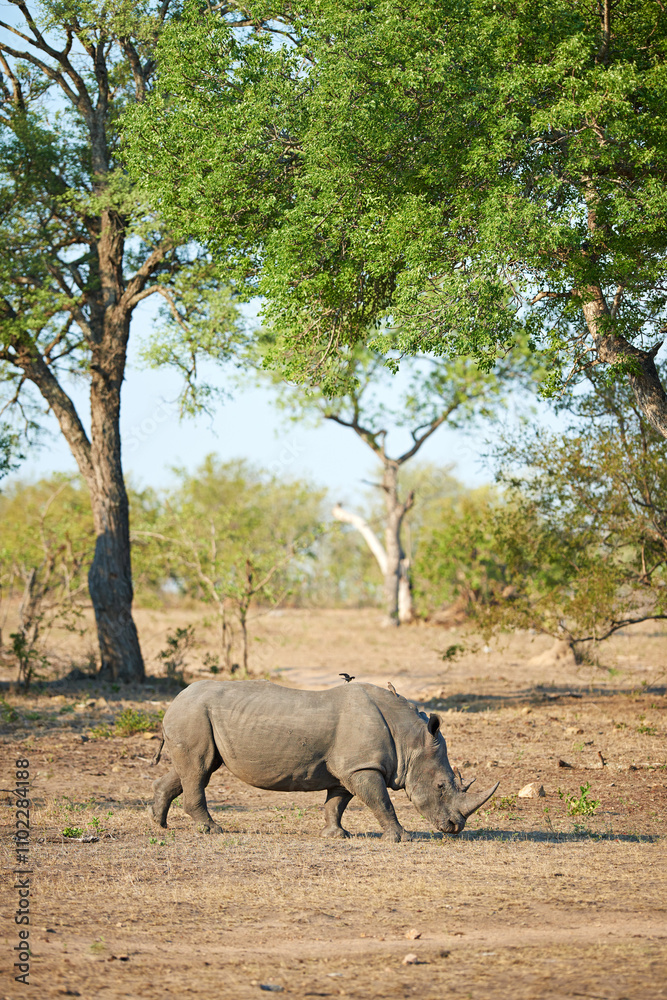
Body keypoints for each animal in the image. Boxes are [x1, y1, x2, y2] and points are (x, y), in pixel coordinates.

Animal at [150, 679, 498, 842]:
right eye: (441, 786)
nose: (454, 828)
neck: (409, 738)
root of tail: (174, 700)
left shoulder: (349, 768)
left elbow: (337, 802)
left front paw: (336, 835)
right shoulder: (362, 766)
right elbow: (382, 802)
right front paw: (402, 838)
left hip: (194, 716)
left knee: (193, 769)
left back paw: (160, 824)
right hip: (193, 714)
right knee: (199, 770)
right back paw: (212, 830)